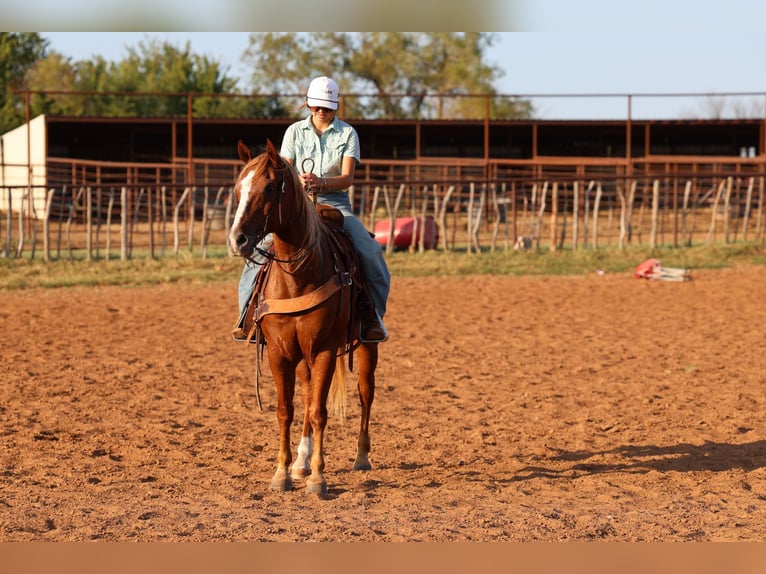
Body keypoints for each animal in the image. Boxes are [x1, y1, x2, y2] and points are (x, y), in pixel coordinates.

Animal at [228, 139, 378, 496]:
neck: (298, 276)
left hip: (367, 346)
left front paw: (319, 478)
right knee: (309, 395)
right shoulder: (280, 353)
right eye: (239, 188)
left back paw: (361, 456)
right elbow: (287, 410)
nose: (237, 239)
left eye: (270, 187)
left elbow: (320, 411)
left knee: (365, 392)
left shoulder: (323, 350)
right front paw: (283, 472)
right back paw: (301, 462)